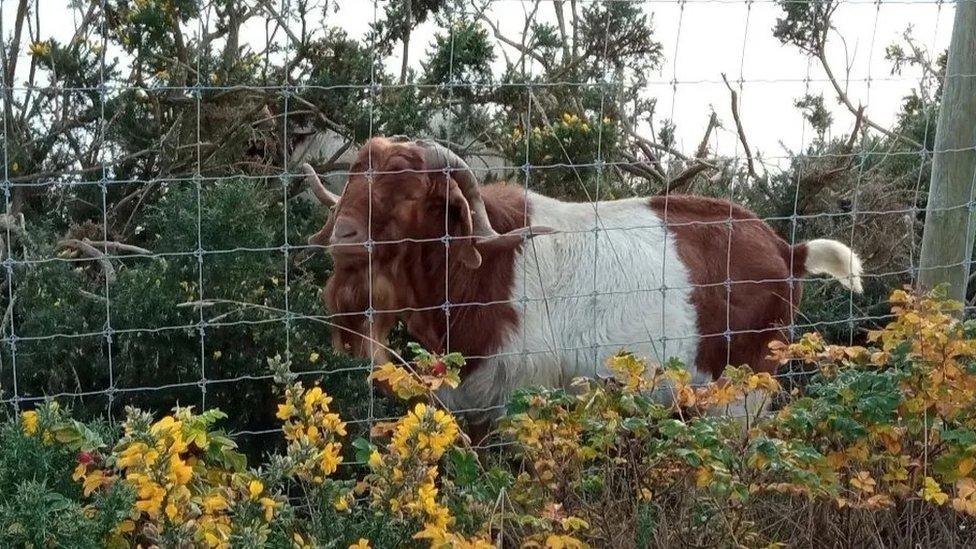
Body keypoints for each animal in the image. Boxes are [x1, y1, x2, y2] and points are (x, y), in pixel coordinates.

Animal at [304, 136, 860, 424]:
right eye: (355, 180)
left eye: (412, 192)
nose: (345, 236)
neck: (477, 274)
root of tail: (788, 252)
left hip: (740, 395)